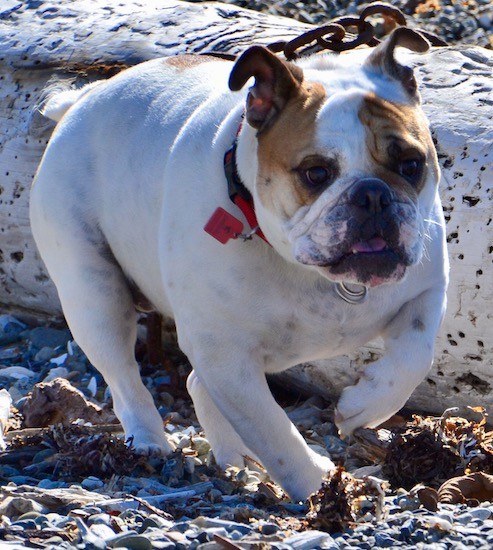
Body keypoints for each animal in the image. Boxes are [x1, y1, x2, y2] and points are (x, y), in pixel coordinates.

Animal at [29, 28, 446, 502]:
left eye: (411, 164)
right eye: (316, 173)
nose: (373, 194)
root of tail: (84, 100)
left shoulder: (427, 290)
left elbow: (415, 354)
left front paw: (363, 407)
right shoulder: (224, 354)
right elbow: (273, 431)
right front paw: (318, 485)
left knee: (196, 383)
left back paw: (233, 455)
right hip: (94, 294)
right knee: (123, 375)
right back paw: (150, 441)